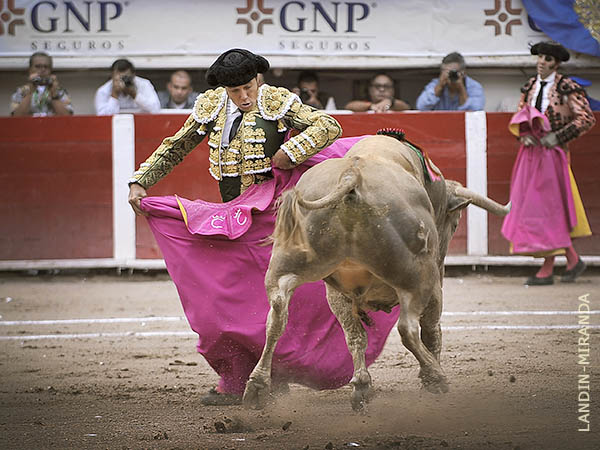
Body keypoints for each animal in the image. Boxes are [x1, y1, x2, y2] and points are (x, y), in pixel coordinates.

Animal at [241, 134, 508, 412]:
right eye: (455, 223)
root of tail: (351, 176)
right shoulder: (436, 286)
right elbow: (432, 330)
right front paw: (430, 379)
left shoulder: (338, 293)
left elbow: (356, 336)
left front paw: (363, 385)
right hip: (420, 276)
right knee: (408, 328)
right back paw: (436, 376)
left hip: (289, 267)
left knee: (278, 317)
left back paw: (259, 386)